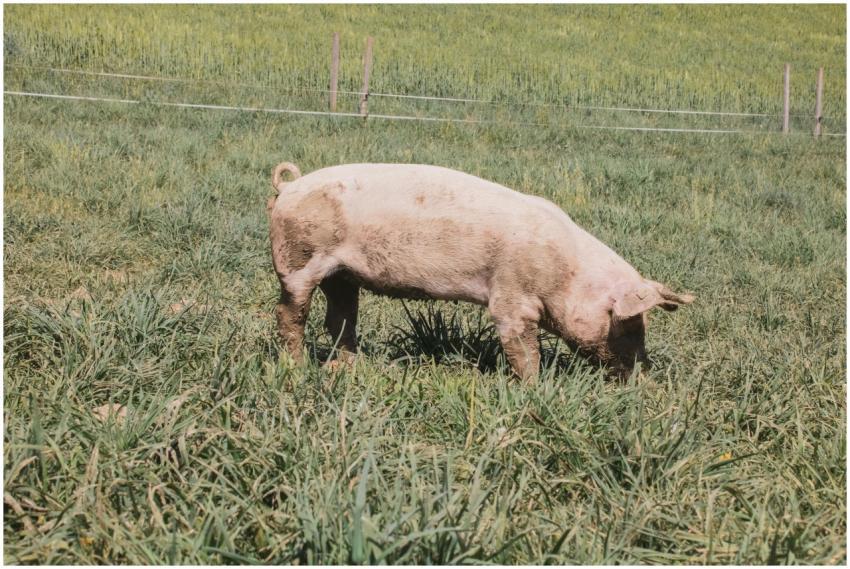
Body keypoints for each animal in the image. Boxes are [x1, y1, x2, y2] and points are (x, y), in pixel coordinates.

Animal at [267, 162, 694, 380]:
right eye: (628, 324)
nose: (644, 372)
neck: (566, 274)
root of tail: (288, 188)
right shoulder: (512, 296)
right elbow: (523, 349)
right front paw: (534, 389)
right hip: (297, 260)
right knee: (289, 314)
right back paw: (296, 367)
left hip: (341, 275)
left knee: (339, 317)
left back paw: (347, 367)